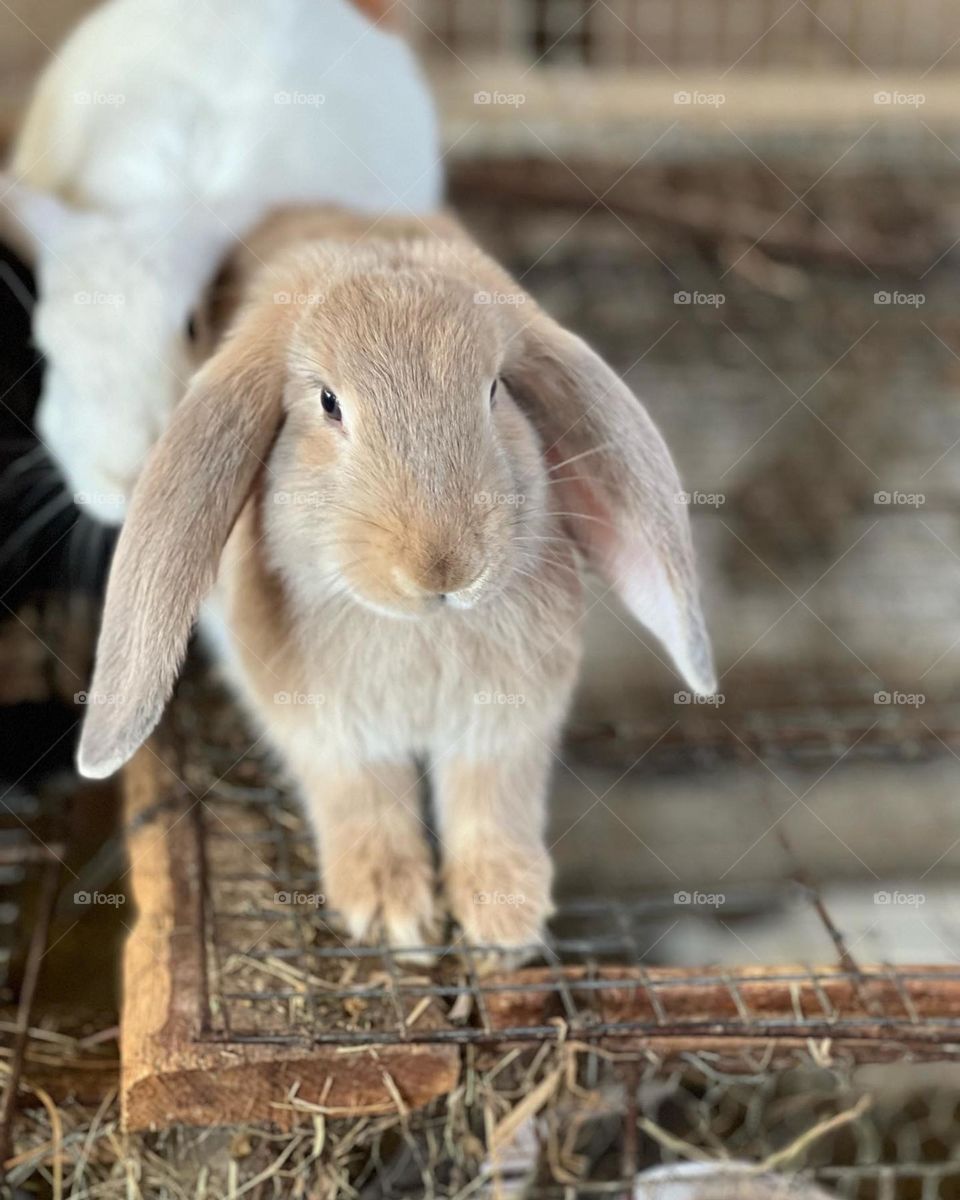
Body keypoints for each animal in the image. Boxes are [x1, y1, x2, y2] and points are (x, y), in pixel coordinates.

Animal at [75, 205, 716, 954]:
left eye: (494, 391)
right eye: (328, 402)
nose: (444, 565)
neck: (421, 632)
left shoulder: (506, 728)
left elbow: (491, 800)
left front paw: (505, 917)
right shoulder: (331, 736)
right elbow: (365, 797)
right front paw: (391, 911)